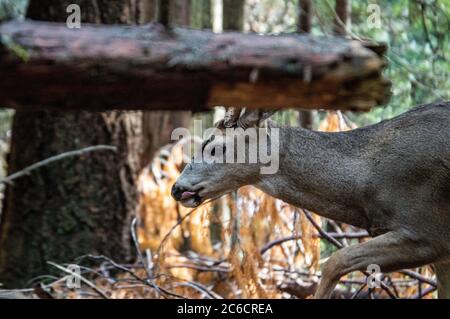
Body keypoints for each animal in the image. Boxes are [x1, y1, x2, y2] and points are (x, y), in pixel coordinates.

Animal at [171, 102, 448, 300]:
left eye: (215, 146)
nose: (176, 188)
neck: (366, 183)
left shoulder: (426, 231)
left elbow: (335, 261)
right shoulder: (441, 252)